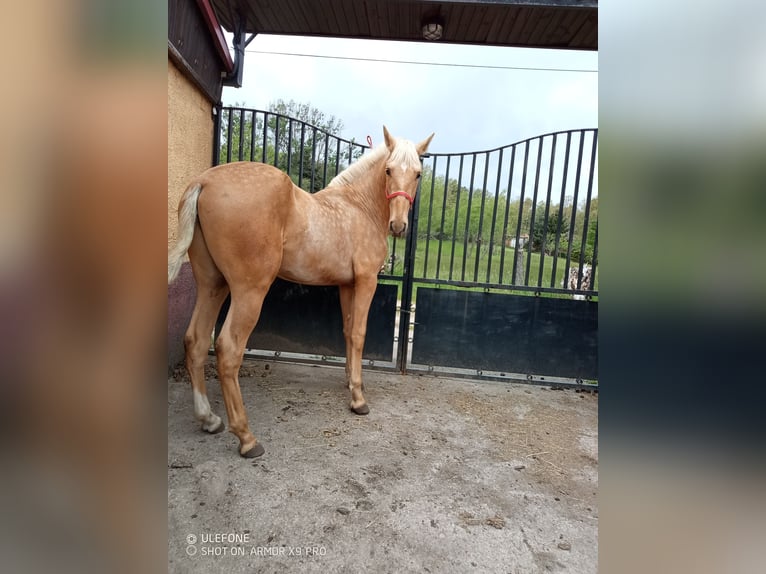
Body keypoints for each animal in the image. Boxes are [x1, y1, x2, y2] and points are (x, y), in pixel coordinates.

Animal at [169, 127, 436, 460]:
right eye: (388, 170)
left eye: (417, 174)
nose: (398, 225)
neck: (358, 206)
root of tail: (203, 181)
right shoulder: (365, 281)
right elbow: (359, 333)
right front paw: (358, 399)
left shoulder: (346, 285)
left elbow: (347, 331)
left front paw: (350, 382)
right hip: (249, 291)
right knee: (228, 350)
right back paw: (247, 438)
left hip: (212, 285)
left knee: (195, 341)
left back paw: (209, 419)